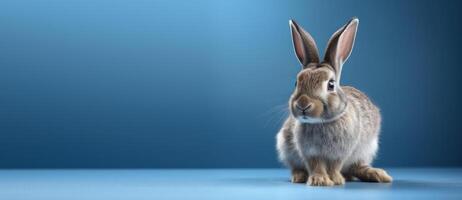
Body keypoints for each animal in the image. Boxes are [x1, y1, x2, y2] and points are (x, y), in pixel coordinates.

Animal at [276, 17, 392, 186]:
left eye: (331, 84)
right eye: (296, 83)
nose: (303, 104)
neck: (321, 122)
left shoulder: (340, 153)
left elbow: (334, 166)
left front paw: (335, 180)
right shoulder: (310, 153)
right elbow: (316, 165)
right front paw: (319, 180)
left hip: (367, 150)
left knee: (357, 167)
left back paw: (377, 174)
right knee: (296, 167)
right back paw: (299, 176)